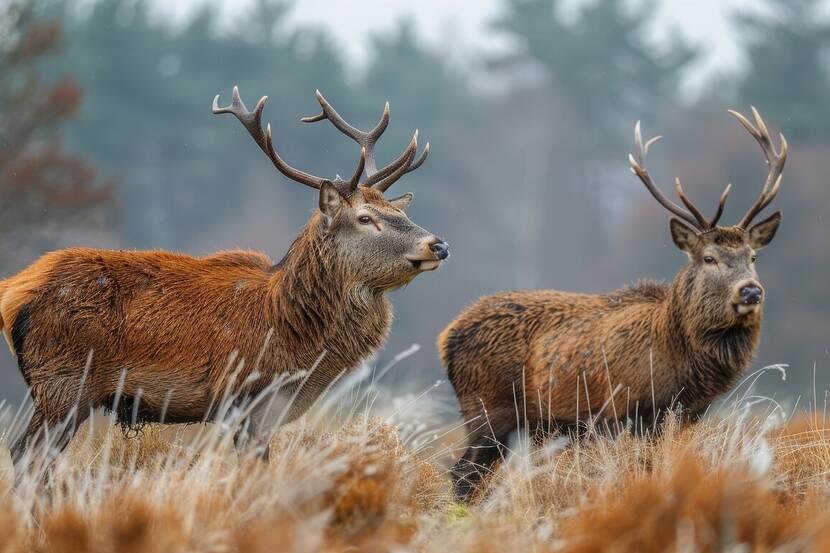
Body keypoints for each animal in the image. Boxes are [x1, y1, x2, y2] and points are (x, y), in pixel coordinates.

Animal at [1, 86, 448, 464]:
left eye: (398, 212)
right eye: (365, 218)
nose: (438, 245)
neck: (296, 338)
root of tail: (13, 294)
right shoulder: (247, 395)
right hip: (64, 384)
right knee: (26, 456)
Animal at [438, 108, 788, 500]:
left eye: (753, 256)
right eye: (709, 258)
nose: (751, 291)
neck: (680, 358)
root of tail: (447, 338)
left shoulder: (686, 415)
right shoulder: (629, 412)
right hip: (487, 410)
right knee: (462, 473)